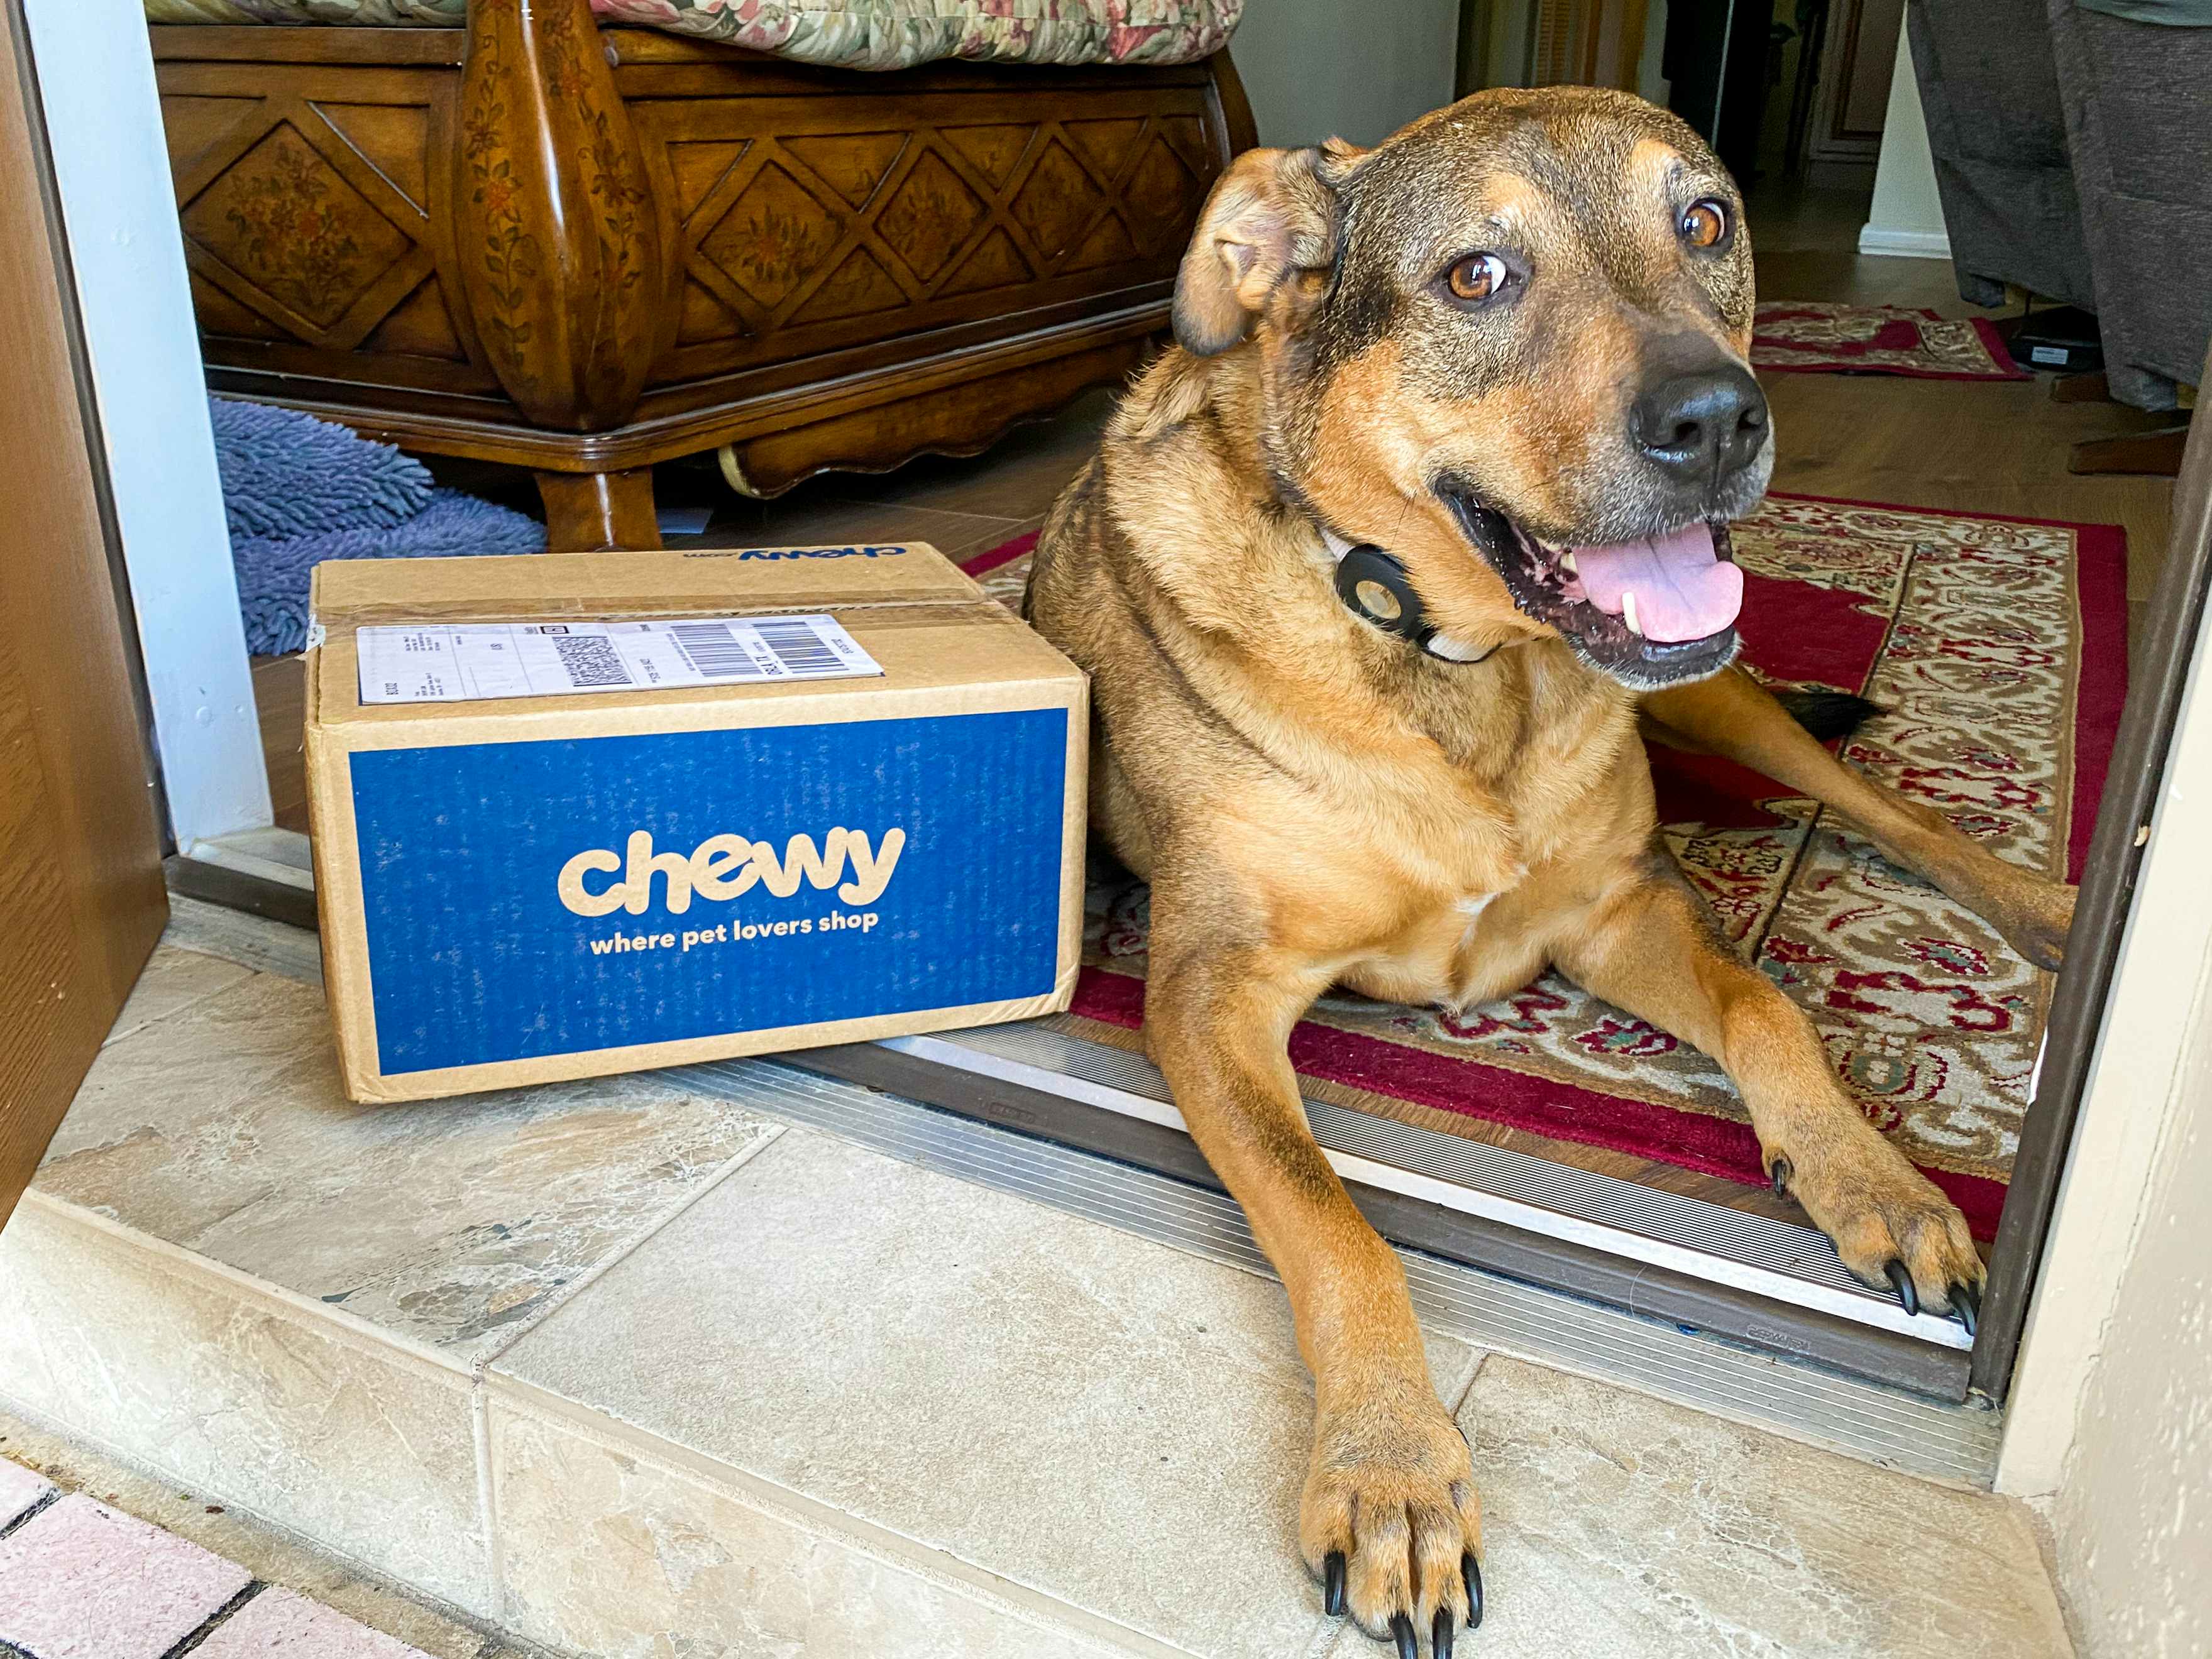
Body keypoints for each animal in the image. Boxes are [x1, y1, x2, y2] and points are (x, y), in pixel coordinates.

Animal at [1026, 87, 2061, 1654]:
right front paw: (1391, 1467)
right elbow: (1335, 1226)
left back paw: (2051, 904)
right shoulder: (1210, 994)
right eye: (1476, 277)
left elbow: (1765, 1006)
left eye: (1704, 220)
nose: (1717, 420)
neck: (1460, 661)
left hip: (1721, 692)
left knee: (1874, 804)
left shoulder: (1615, 908)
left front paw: (1868, 1177)